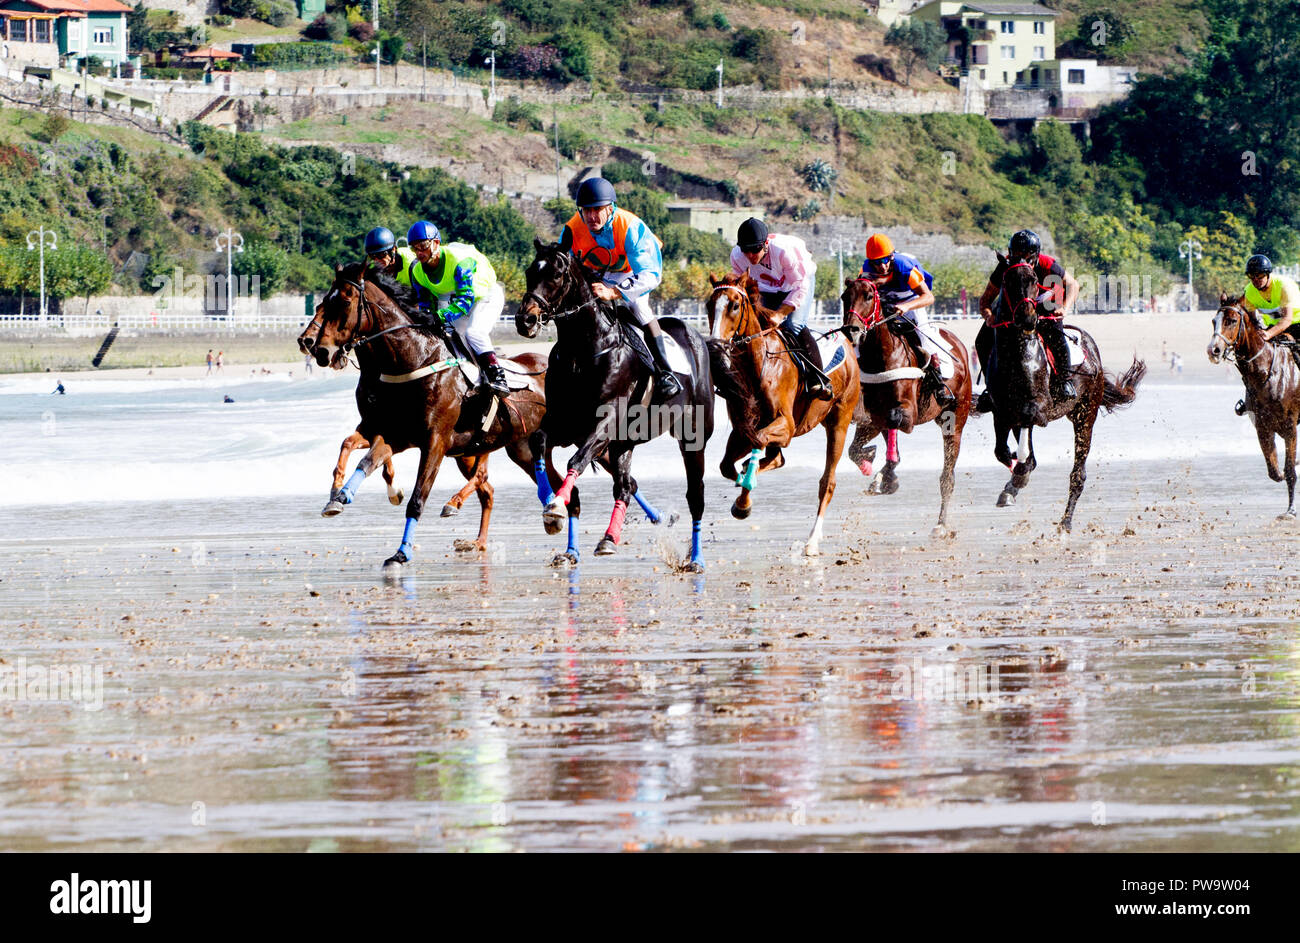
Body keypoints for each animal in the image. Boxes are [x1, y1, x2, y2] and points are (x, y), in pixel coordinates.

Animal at [304, 261, 569, 574]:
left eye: (344, 302)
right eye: (322, 303)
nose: (319, 349)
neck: (415, 360)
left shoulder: (435, 442)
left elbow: (417, 498)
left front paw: (401, 552)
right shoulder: (392, 433)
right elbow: (364, 458)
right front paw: (340, 496)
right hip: (519, 449)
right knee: (506, 487)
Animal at [514, 239, 712, 569]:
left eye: (556, 274)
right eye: (530, 271)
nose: (525, 319)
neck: (583, 351)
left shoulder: (606, 420)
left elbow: (576, 461)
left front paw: (555, 505)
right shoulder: (566, 423)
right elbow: (539, 441)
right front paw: (550, 503)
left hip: (692, 437)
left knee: (694, 496)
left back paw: (696, 558)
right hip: (623, 444)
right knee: (625, 486)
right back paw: (606, 539)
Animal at [707, 267, 857, 556]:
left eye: (734, 305)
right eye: (709, 305)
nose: (714, 346)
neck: (759, 365)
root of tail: (847, 344)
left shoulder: (785, 425)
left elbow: (758, 443)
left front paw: (744, 499)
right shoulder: (742, 428)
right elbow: (727, 465)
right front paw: (742, 494)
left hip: (839, 422)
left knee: (827, 482)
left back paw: (812, 541)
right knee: (777, 459)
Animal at [837, 275, 972, 533]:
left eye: (868, 296)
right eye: (844, 296)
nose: (852, 330)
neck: (882, 356)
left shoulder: (907, 412)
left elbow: (894, 422)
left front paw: (885, 475)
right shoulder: (872, 417)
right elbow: (854, 449)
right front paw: (873, 465)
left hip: (956, 418)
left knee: (947, 476)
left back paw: (941, 524)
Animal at [1206, 292, 1300, 517]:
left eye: (1232, 321)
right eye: (1214, 321)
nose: (1213, 350)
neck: (1266, 371)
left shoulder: (1290, 426)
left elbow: (1290, 471)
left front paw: (1291, 510)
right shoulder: (1262, 427)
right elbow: (1275, 471)